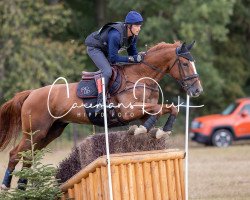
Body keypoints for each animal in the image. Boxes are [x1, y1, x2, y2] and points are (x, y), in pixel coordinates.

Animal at [0, 40, 202, 189]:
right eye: (185, 64)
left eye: (193, 63)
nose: (197, 90)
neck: (140, 77)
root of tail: (31, 93)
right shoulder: (128, 111)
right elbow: (162, 109)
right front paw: (145, 130)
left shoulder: (143, 110)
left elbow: (166, 110)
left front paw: (153, 130)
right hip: (35, 131)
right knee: (15, 153)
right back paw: (7, 184)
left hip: (51, 131)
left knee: (28, 155)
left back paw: (22, 186)